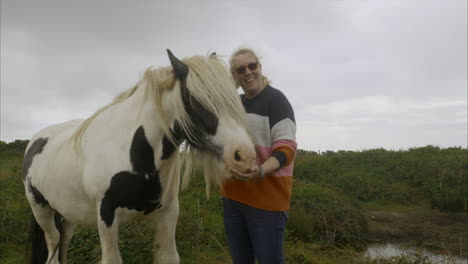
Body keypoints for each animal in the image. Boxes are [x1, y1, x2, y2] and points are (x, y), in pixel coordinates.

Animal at [22, 50, 256, 264]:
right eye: (194, 100)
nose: (244, 156)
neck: (132, 151)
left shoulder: (168, 214)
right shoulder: (106, 216)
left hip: (68, 213)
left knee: (63, 241)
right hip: (41, 210)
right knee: (53, 243)